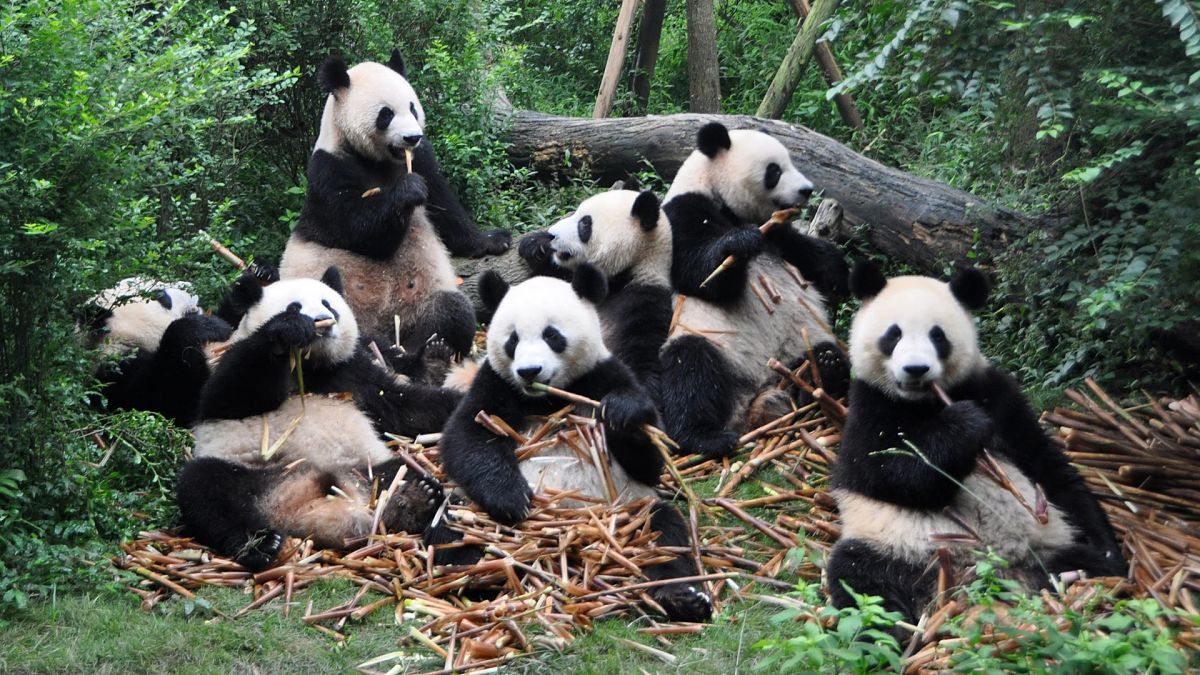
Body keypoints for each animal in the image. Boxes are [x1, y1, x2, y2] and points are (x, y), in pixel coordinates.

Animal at [177, 267, 458, 571]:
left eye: (328, 304)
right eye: (294, 306)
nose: (322, 321)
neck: (310, 365)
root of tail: (297, 507)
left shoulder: (352, 371)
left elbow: (402, 407)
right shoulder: (226, 363)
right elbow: (229, 394)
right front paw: (285, 332)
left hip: (368, 470)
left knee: (406, 476)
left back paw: (415, 500)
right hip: (250, 472)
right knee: (205, 490)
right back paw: (261, 544)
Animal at [279, 49, 509, 358]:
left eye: (412, 108)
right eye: (386, 114)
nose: (412, 137)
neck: (379, 161)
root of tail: (393, 334)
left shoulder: (422, 158)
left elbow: (446, 209)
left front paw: (493, 239)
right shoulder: (327, 170)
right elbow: (357, 230)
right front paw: (409, 190)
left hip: (419, 307)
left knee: (452, 310)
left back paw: (428, 349)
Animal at [437, 265, 712, 622]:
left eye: (552, 335)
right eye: (512, 340)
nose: (529, 371)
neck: (549, 398)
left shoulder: (602, 375)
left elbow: (650, 461)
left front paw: (623, 414)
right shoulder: (496, 383)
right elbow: (465, 438)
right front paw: (512, 498)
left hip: (628, 509)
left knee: (662, 533)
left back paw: (682, 598)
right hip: (470, 510)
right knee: (451, 525)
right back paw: (476, 576)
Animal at [657, 122, 851, 458]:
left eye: (791, 161)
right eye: (774, 170)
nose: (807, 189)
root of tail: (755, 398)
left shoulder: (779, 233)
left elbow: (811, 256)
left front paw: (842, 272)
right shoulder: (682, 214)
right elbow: (701, 273)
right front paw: (739, 243)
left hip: (800, 343)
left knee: (819, 354)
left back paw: (826, 370)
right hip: (714, 343)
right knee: (690, 371)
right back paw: (705, 436)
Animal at [827, 261, 1125, 627]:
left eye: (937, 335)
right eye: (893, 334)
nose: (916, 369)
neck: (924, 403)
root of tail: (981, 577)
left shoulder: (996, 393)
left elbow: (1047, 465)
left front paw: (1107, 545)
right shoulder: (868, 405)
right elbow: (884, 473)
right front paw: (966, 425)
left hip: (1049, 551)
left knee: (1089, 567)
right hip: (897, 545)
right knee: (859, 578)